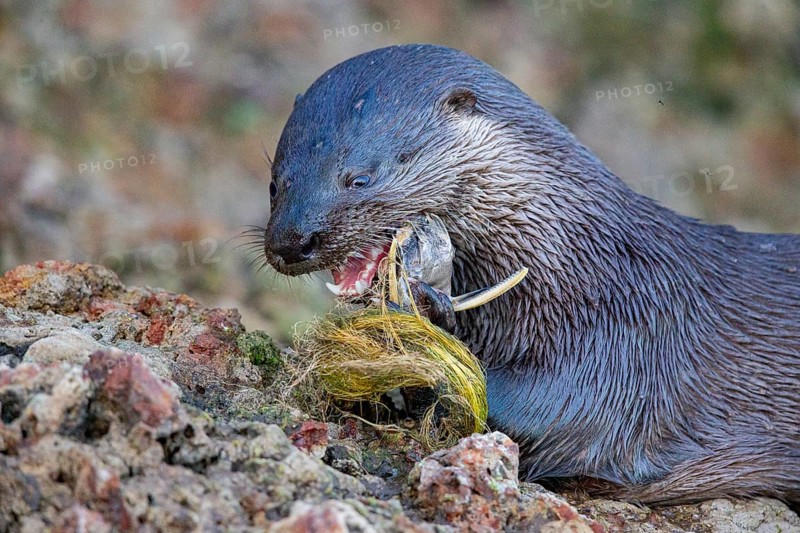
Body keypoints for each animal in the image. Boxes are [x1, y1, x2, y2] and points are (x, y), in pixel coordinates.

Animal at [262, 44, 800, 506]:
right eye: (274, 183)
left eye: (360, 178)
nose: (289, 241)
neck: (579, 259)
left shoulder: (624, 347)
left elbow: (551, 409)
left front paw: (419, 317)